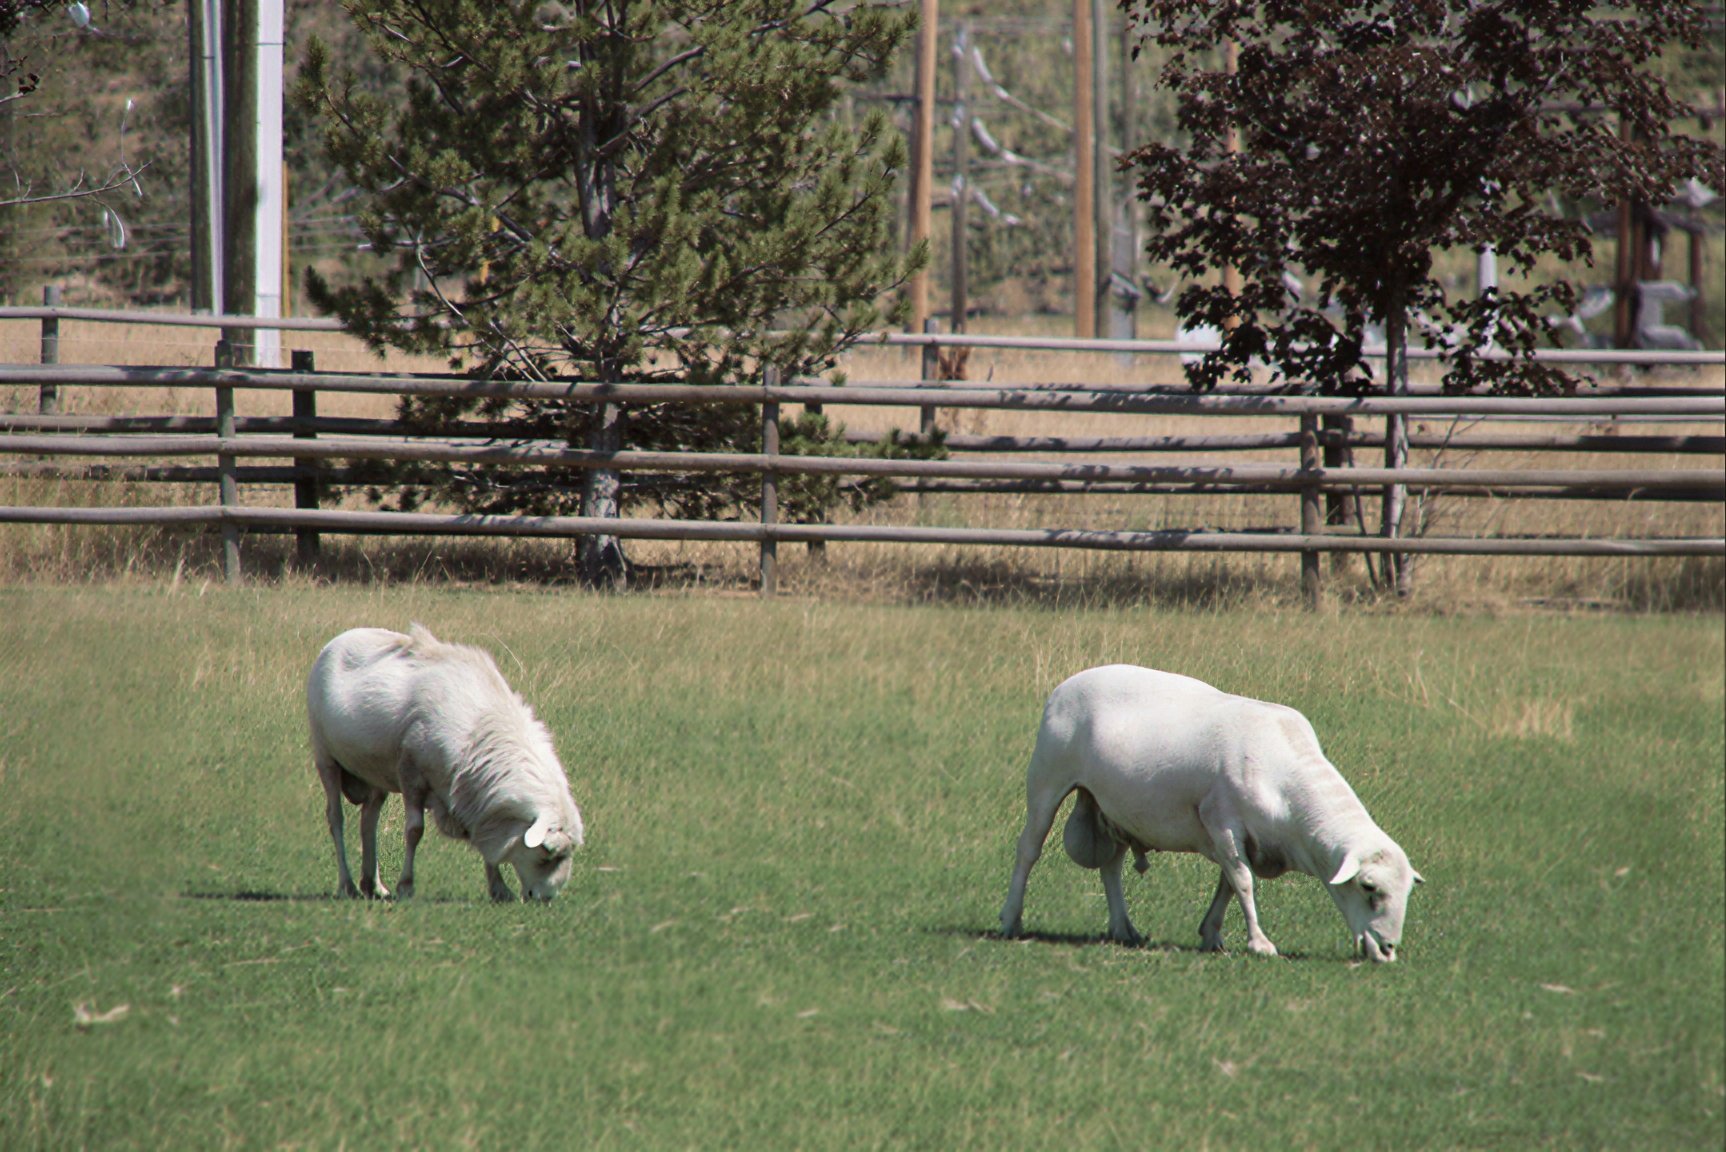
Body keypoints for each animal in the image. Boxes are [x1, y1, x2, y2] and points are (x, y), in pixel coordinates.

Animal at [306, 625, 584, 902]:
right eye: (548, 853)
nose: (546, 899)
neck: (479, 730)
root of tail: (342, 637)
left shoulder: (472, 793)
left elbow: (482, 835)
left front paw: (499, 889)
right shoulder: (412, 774)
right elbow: (414, 831)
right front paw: (406, 886)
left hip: (374, 771)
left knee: (368, 820)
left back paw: (372, 884)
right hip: (325, 757)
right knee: (335, 818)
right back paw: (348, 884)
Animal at [999, 665, 1421, 962]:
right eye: (1369, 888)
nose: (1388, 950)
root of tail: (1067, 683)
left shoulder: (1239, 836)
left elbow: (1228, 884)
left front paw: (1212, 935)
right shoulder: (1223, 821)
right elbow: (1243, 882)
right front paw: (1259, 943)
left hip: (1111, 804)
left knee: (1111, 865)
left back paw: (1123, 928)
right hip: (1047, 779)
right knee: (1028, 851)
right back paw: (1010, 920)